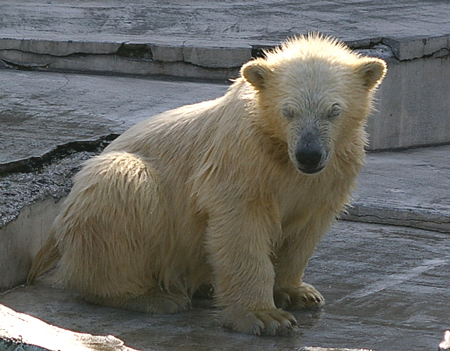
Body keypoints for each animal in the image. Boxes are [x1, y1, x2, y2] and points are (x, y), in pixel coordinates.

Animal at [28, 34, 386, 336]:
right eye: (288, 111)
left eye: (333, 111)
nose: (308, 155)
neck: (279, 150)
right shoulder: (241, 159)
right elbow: (241, 227)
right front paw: (265, 317)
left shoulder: (333, 173)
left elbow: (306, 229)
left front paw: (299, 293)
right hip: (109, 195)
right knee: (124, 187)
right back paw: (152, 296)